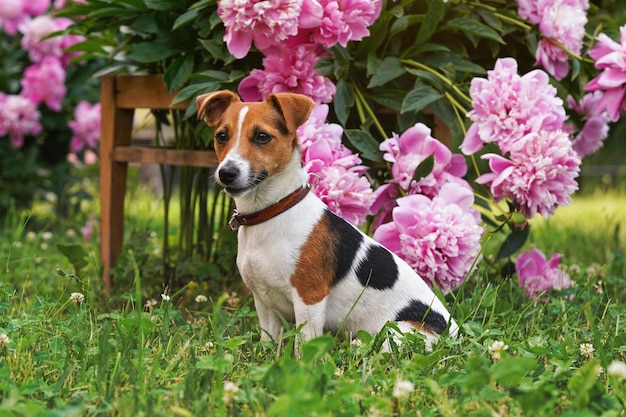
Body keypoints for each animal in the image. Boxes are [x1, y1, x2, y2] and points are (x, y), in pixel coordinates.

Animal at [196, 89, 458, 350]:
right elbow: (269, 341)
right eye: (221, 136)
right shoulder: (264, 301)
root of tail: (455, 333)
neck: (272, 211)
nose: (226, 173)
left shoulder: (309, 297)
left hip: (397, 332)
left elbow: (303, 344)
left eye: (262, 136)